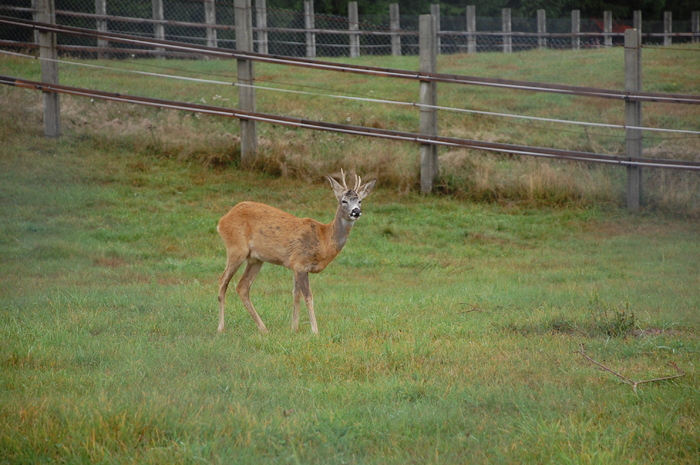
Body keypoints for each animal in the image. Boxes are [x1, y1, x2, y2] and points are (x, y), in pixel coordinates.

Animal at [217, 170, 378, 334]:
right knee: (223, 281)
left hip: (255, 259)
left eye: (360, 201)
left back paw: (263, 328)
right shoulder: (301, 263)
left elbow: (296, 294)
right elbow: (308, 296)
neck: (324, 239)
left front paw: (294, 327)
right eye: (344, 201)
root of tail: (222, 221)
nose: (356, 212)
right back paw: (221, 328)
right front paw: (315, 331)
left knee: (242, 287)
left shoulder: (295, 265)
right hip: (236, 248)